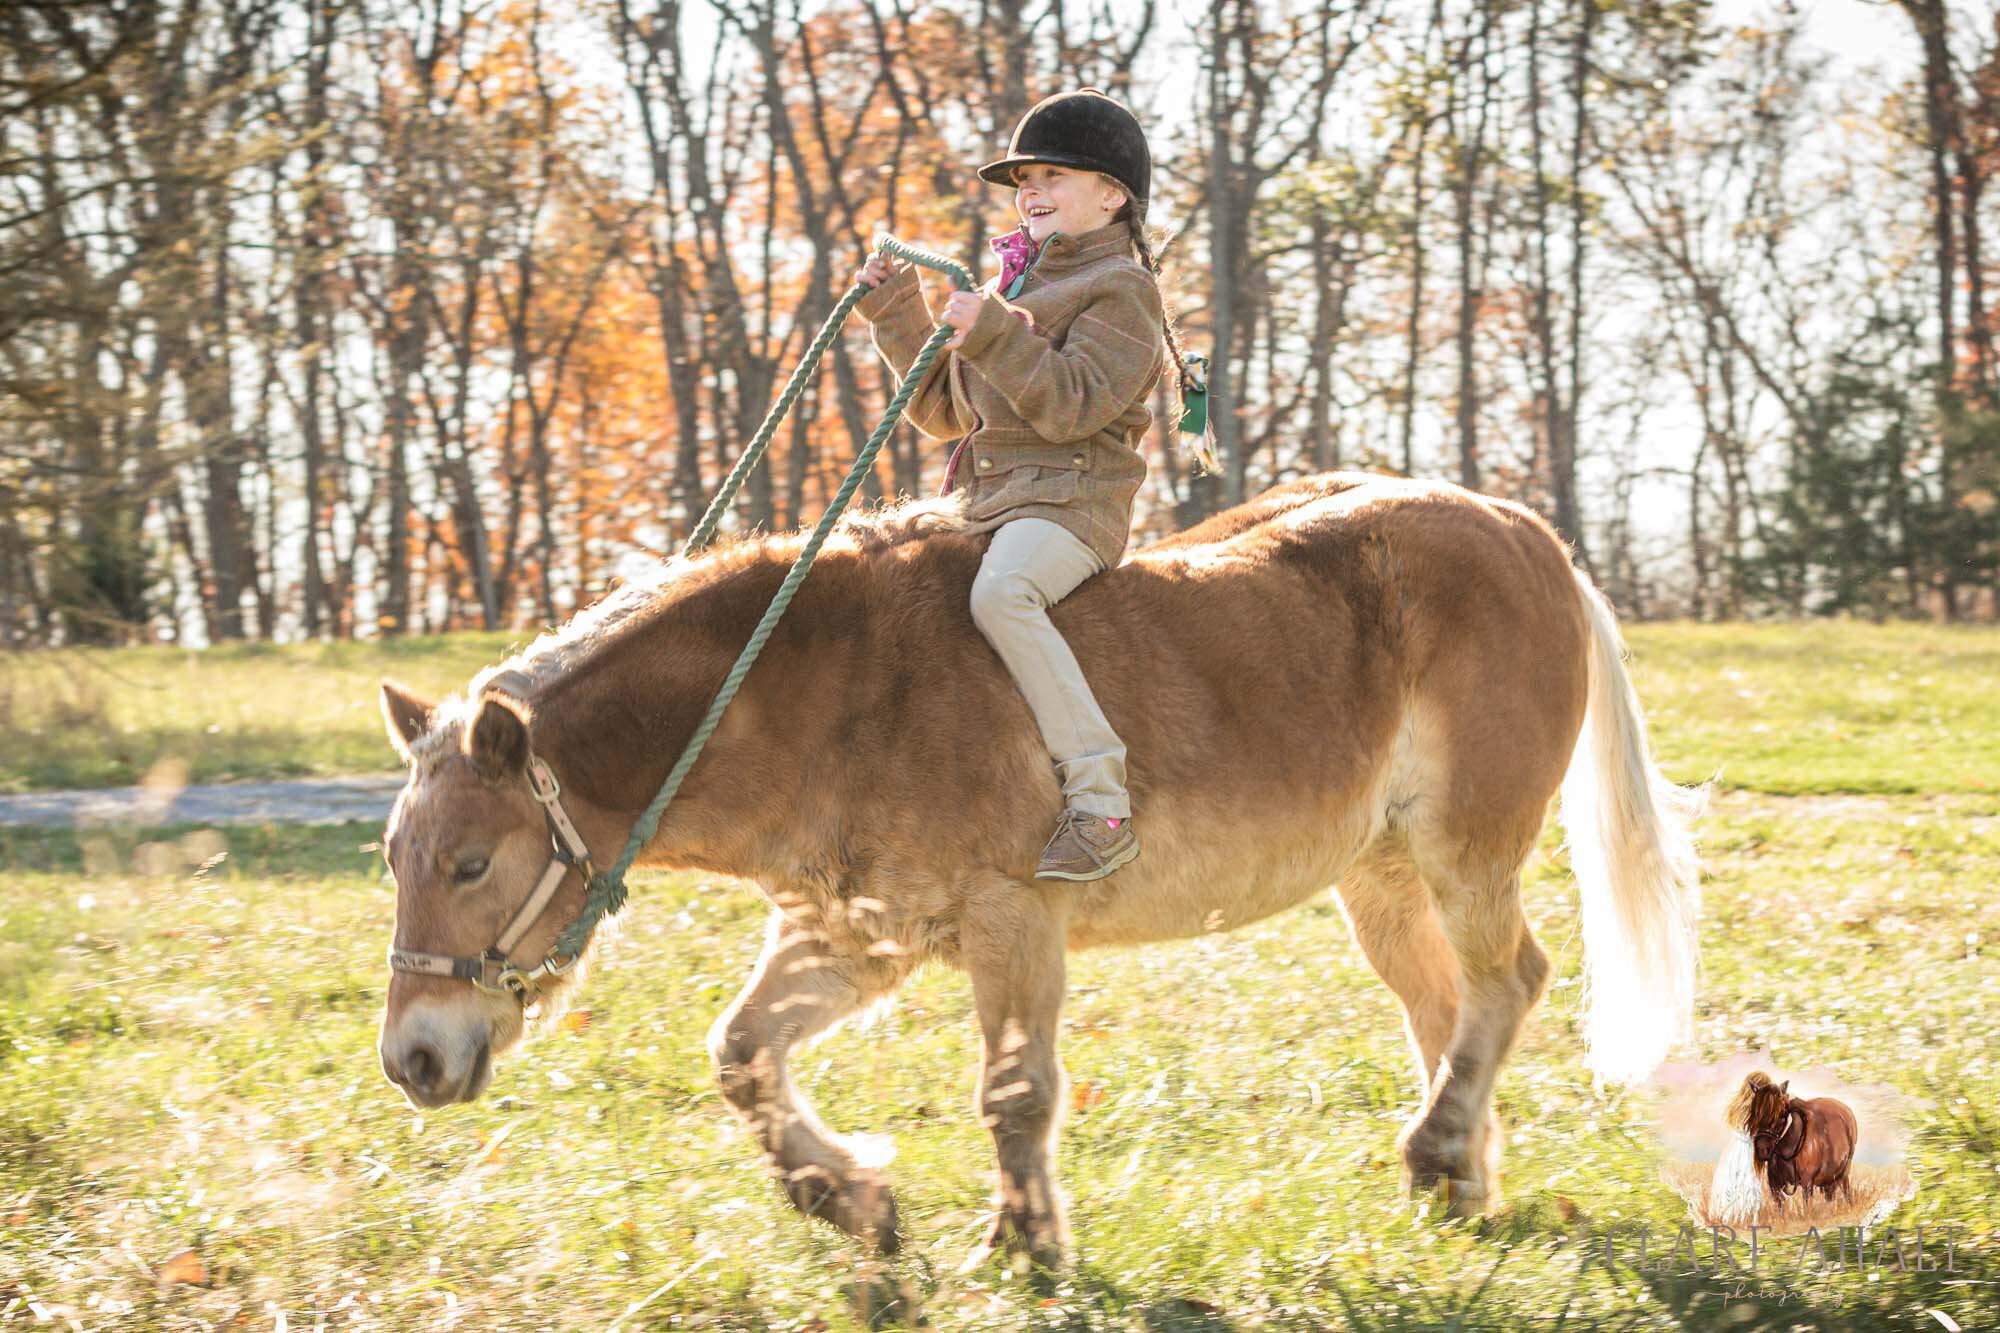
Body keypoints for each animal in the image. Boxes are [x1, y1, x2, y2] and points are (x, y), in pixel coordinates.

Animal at [372, 472, 1704, 1264]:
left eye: (474, 861)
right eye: (397, 859)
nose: (413, 1060)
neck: (817, 688)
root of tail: (1526, 532)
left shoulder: (1010, 924)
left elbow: (1013, 1092)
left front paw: (1021, 1244)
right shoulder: (854, 937)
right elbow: (741, 1054)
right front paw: (848, 1193)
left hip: (1463, 849)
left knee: (1508, 979)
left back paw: (1437, 1152)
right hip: (1376, 876)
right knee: (1445, 1003)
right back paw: (1459, 1175)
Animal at [1736, 1072, 1856, 1200]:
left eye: (1782, 1114)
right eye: (1754, 1113)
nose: (1763, 1149)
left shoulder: (1807, 1183)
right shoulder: (1775, 1186)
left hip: (1843, 1174)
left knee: (1846, 1193)